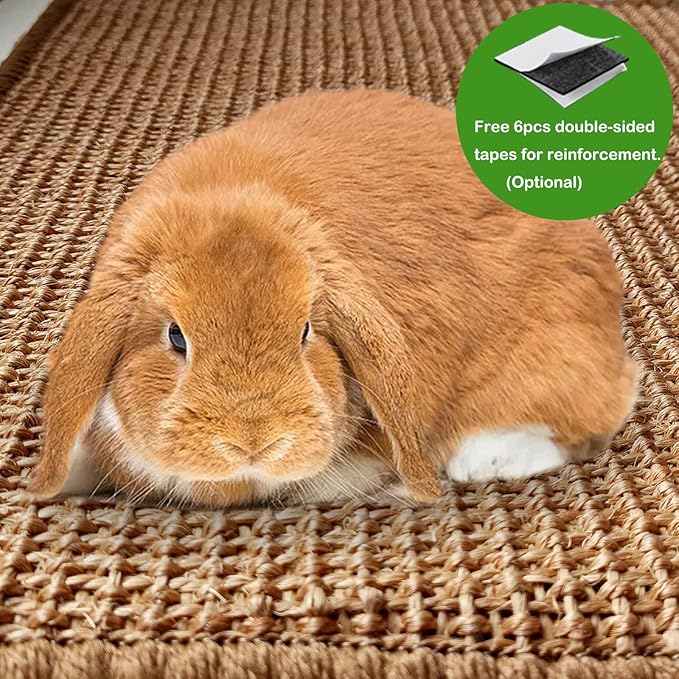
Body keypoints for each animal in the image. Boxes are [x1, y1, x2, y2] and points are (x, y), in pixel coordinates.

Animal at [29, 89, 638, 507]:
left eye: (305, 331)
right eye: (175, 337)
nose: (255, 440)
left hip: (548, 358)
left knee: (589, 421)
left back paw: (481, 461)